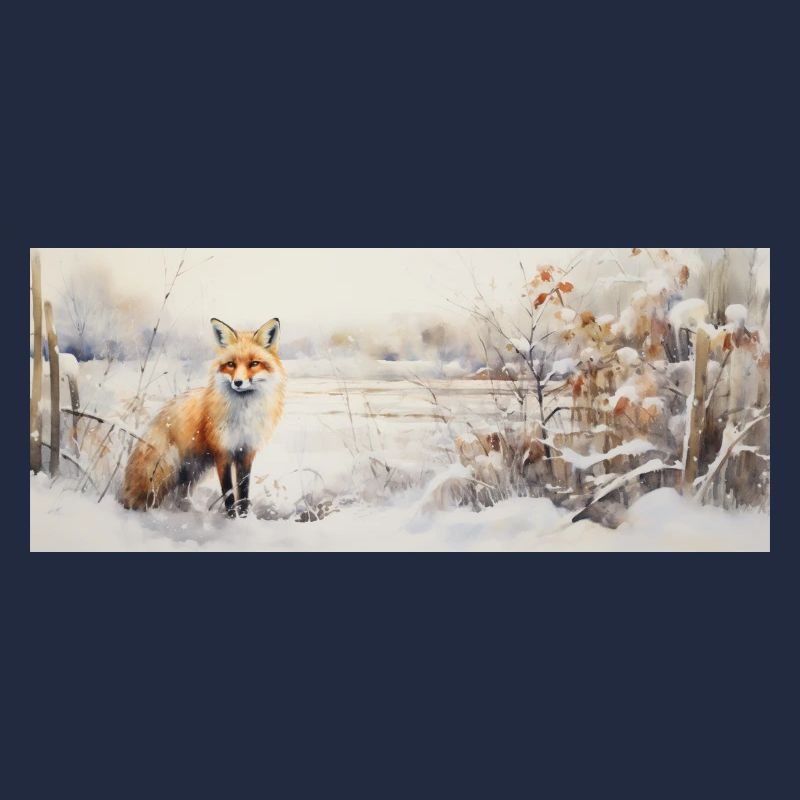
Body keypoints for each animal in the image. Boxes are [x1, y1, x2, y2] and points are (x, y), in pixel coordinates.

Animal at [121, 317, 286, 517]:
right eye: (231, 364)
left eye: (254, 363)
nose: (238, 382)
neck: (243, 414)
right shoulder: (222, 452)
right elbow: (229, 493)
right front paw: (232, 519)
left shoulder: (246, 451)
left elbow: (243, 490)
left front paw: (244, 517)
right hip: (170, 465)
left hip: (194, 469)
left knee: (180, 493)